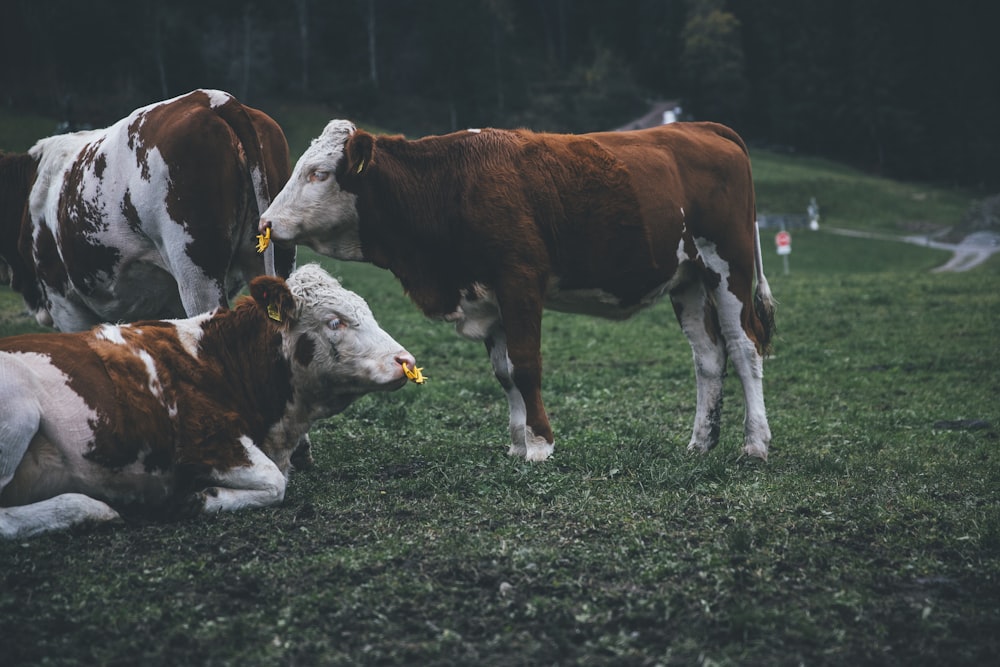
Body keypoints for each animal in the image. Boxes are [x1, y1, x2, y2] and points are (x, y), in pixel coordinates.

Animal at [0, 264, 414, 540]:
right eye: (335, 322)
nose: (405, 361)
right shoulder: (207, 440)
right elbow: (274, 482)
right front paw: (199, 499)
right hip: (18, 415)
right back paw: (87, 509)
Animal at [262, 120, 776, 462]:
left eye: (319, 173)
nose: (266, 221)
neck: (450, 185)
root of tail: (703, 127)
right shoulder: (488, 297)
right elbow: (505, 372)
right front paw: (517, 441)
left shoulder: (520, 281)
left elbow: (526, 366)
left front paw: (541, 445)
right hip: (688, 279)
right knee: (709, 357)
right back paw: (701, 442)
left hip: (727, 267)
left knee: (744, 347)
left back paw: (755, 443)